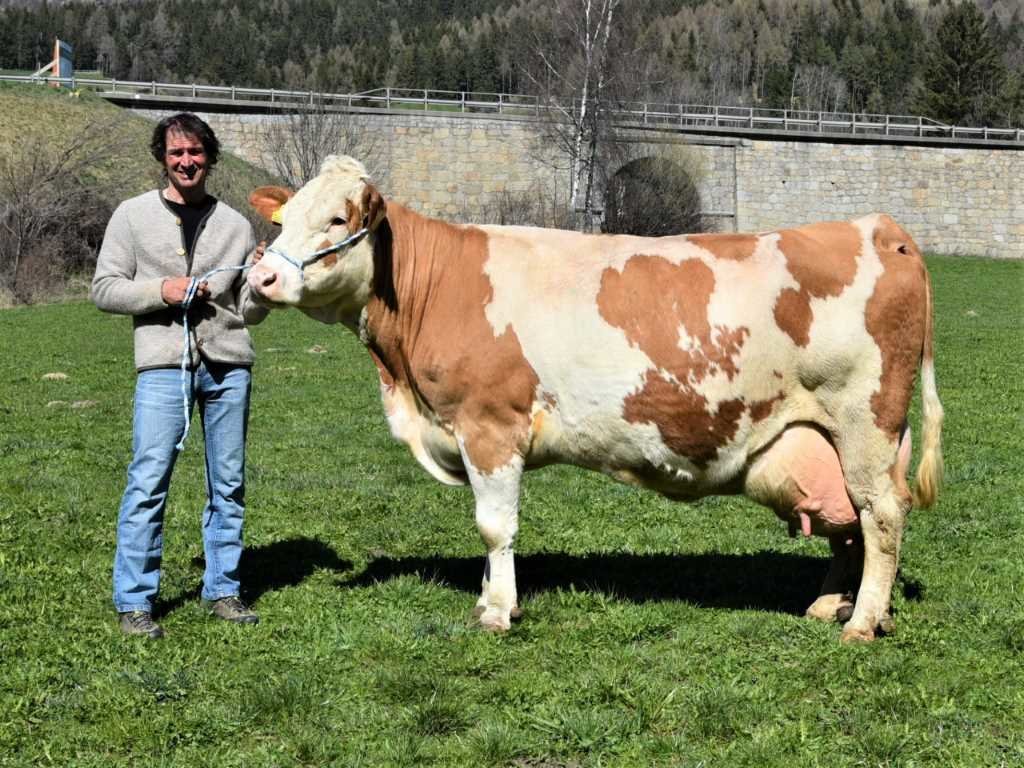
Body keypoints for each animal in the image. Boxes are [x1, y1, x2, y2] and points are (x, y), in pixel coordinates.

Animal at [245, 154, 942, 643]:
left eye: (338, 219)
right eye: (284, 218)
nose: (262, 276)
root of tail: (880, 228)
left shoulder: (489, 425)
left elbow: (495, 525)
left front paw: (497, 612)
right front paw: (487, 599)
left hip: (865, 423)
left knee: (880, 517)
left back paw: (862, 623)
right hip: (837, 438)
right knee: (849, 526)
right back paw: (834, 605)